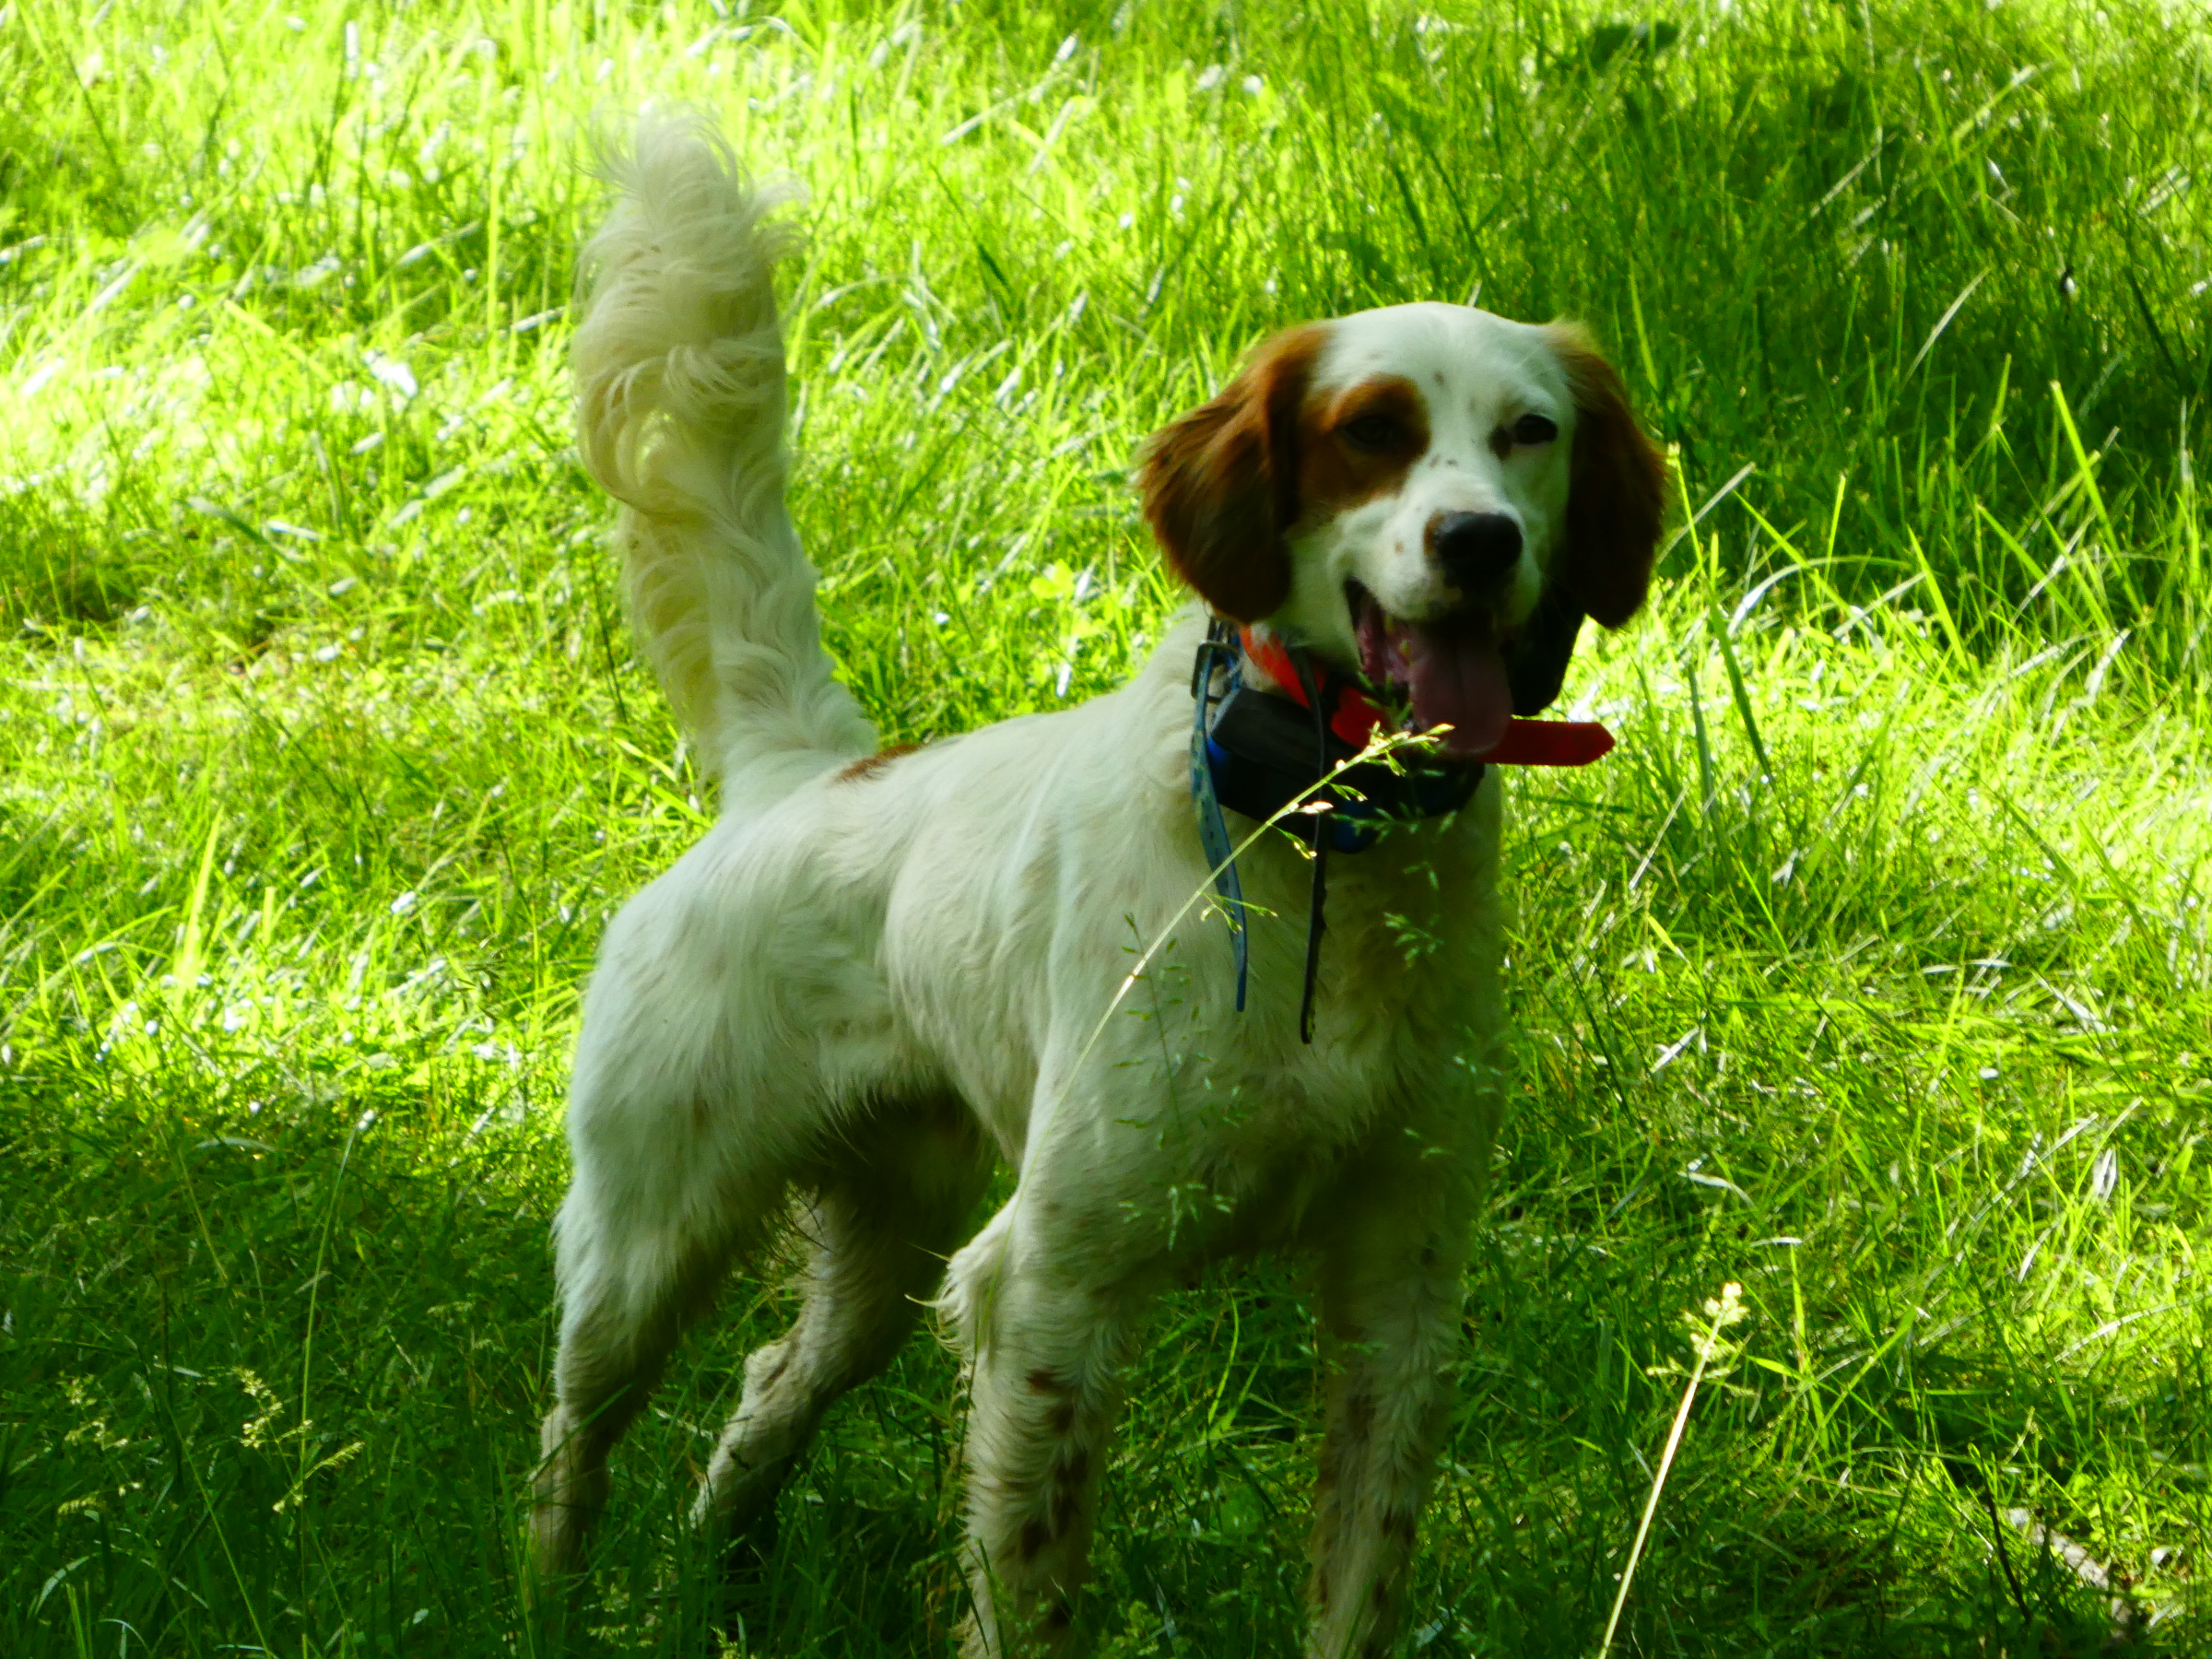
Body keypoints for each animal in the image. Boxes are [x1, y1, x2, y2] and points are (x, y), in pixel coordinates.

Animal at [535, 111, 1663, 1654]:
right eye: (1371, 432)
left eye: (1530, 433)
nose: (1479, 541)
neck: (1319, 847)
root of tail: (803, 775)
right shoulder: (1050, 1285)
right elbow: (1029, 1590)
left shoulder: (1403, 1294)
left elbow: (1356, 1586)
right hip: (650, 1240)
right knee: (571, 1450)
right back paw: (543, 1601)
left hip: (886, 1254)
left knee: (769, 1382)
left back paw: (721, 1571)